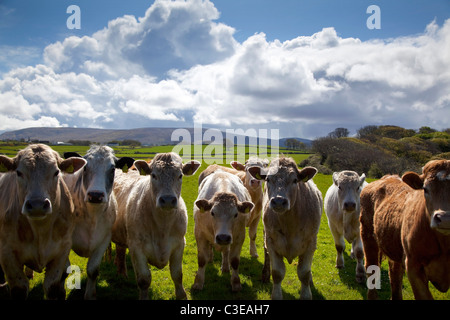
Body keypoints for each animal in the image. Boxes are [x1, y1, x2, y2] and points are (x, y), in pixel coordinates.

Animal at [0, 144, 85, 298]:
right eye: (19, 173)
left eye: (56, 172)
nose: (37, 205)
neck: (40, 231)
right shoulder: (6, 253)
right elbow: (19, 288)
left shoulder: (62, 251)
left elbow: (52, 286)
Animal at [62, 146, 134, 298]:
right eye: (85, 167)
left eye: (112, 169)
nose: (95, 195)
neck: (92, 216)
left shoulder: (103, 240)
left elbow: (93, 271)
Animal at [248, 158, 322, 300]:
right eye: (268, 179)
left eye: (295, 180)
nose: (278, 201)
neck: (290, 225)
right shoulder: (271, 242)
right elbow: (277, 273)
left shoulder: (311, 243)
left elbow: (304, 273)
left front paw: (306, 292)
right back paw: (265, 275)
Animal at [360, 160, 450, 300]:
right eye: (425, 189)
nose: (444, 218)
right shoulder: (413, 266)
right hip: (368, 236)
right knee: (372, 268)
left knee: (395, 274)